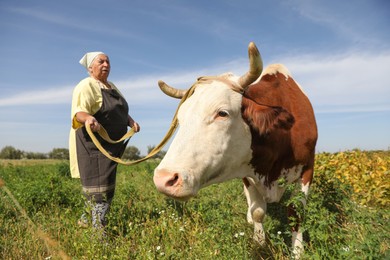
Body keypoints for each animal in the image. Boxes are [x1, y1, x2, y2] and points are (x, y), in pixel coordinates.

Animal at [152, 42, 316, 258]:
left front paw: (298, 251)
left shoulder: (308, 168)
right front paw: (259, 242)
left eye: (222, 113)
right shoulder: (247, 172)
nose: (163, 179)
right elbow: (258, 211)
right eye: (180, 118)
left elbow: (296, 212)